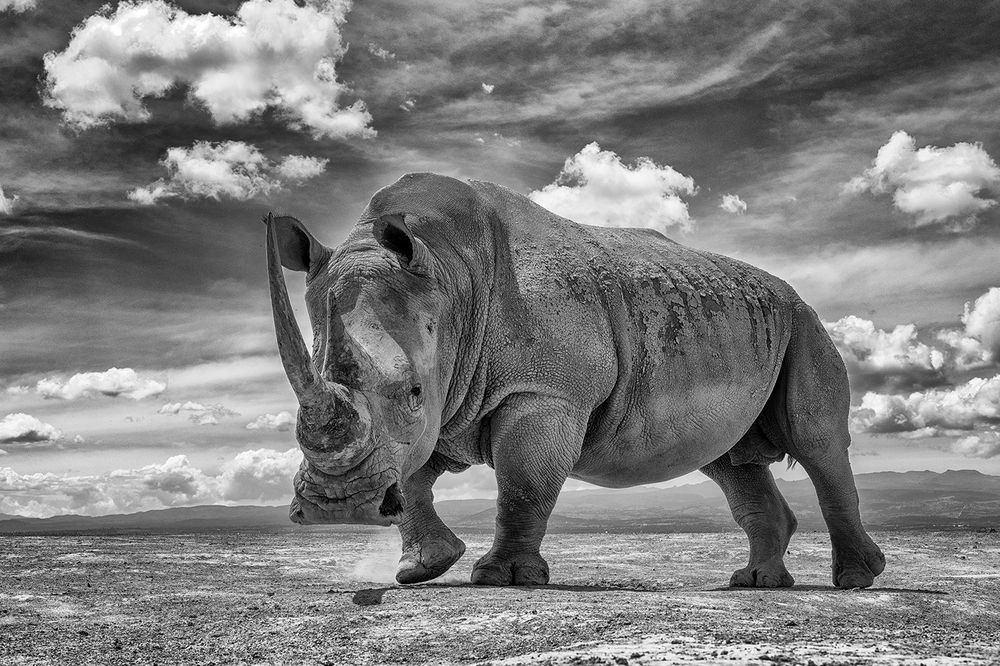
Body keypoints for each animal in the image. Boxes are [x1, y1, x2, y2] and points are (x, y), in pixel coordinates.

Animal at [265, 172, 885, 589]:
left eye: (413, 394)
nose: (337, 507)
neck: (448, 274)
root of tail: (789, 290)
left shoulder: (543, 393)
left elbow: (522, 482)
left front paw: (502, 578)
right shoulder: (450, 400)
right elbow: (413, 474)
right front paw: (422, 569)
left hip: (802, 321)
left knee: (816, 442)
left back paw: (855, 581)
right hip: (738, 322)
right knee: (730, 461)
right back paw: (754, 583)